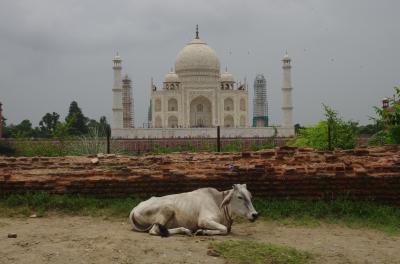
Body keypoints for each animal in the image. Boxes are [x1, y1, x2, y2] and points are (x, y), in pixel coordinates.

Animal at [129, 184, 260, 237]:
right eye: (240, 197)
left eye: (250, 196)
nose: (255, 215)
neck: (218, 202)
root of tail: (135, 208)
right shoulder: (204, 220)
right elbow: (224, 229)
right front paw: (202, 231)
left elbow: (225, 229)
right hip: (167, 208)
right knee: (155, 230)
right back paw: (186, 231)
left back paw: (185, 230)